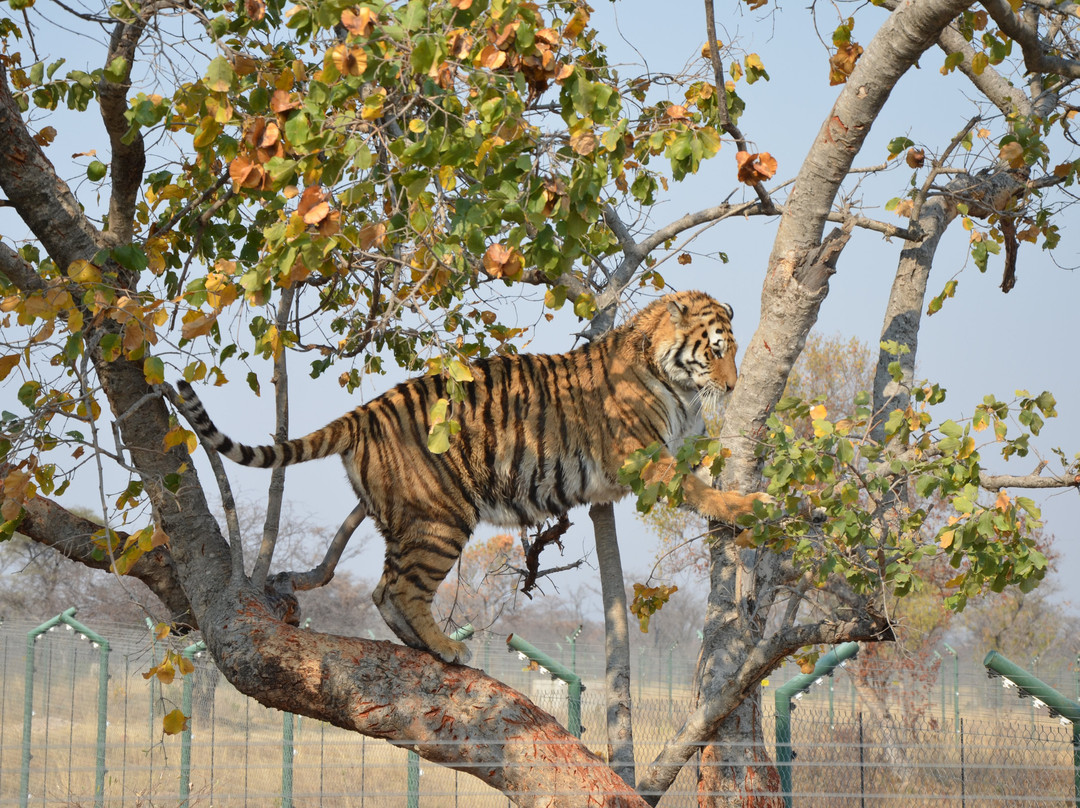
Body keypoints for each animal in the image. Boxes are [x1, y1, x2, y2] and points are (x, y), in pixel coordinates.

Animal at [177, 289, 768, 661]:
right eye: (717, 350)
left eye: (736, 351)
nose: (733, 387)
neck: (681, 390)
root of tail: (365, 411)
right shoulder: (645, 456)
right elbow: (698, 489)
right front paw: (746, 507)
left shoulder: (683, 444)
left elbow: (709, 466)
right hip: (441, 519)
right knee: (402, 589)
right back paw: (445, 647)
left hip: (406, 519)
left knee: (382, 589)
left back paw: (422, 646)